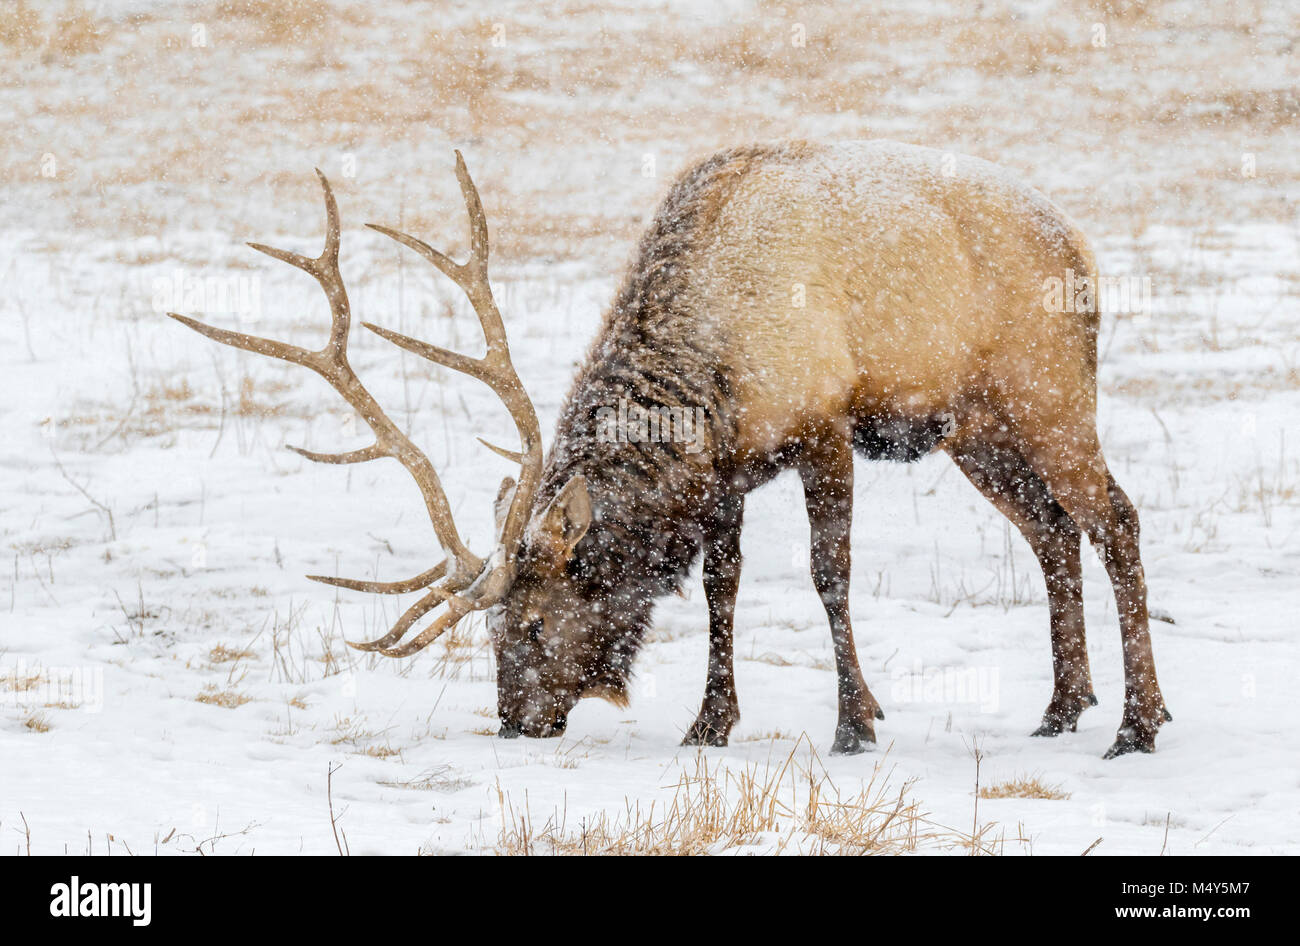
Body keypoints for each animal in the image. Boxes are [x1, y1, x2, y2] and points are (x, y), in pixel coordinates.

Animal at [171, 141, 1171, 759]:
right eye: (490, 630)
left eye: (531, 625)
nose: (513, 723)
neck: (710, 373)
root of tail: (1083, 247)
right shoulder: (727, 472)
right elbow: (723, 585)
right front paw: (710, 722)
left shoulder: (823, 425)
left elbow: (828, 574)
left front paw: (856, 722)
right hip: (979, 429)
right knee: (1053, 532)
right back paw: (1062, 708)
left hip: (1049, 395)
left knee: (1117, 519)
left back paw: (1138, 723)